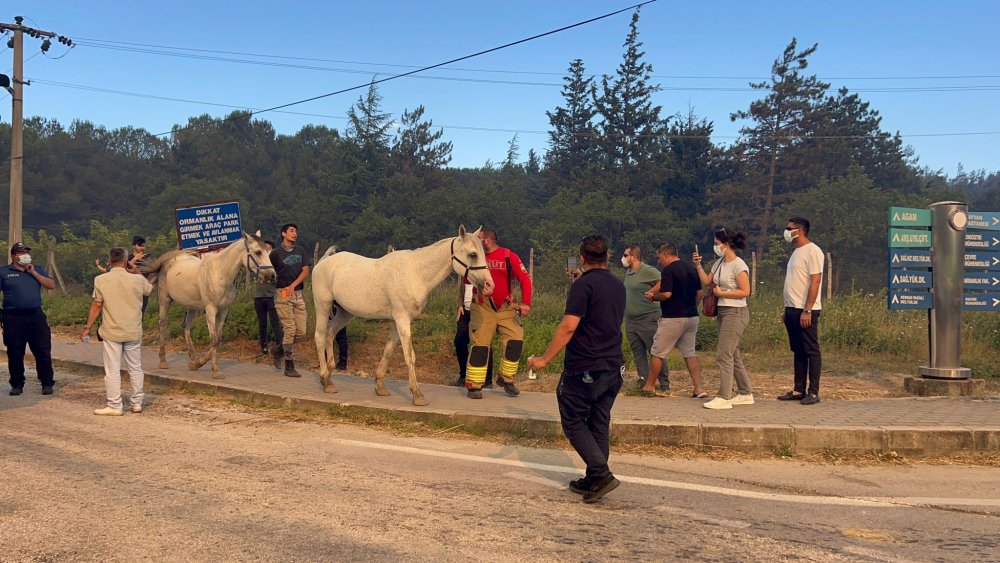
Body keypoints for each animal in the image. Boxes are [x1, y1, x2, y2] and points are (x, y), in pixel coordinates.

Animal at [143, 234, 276, 378]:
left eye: (268, 251)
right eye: (258, 252)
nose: (272, 275)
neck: (220, 274)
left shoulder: (223, 310)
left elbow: (218, 338)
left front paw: (198, 363)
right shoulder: (211, 310)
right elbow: (213, 339)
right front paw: (215, 370)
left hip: (192, 306)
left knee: (186, 328)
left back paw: (193, 357)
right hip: (165, 300)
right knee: (162, 325)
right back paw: (163, 360)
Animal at [312, 225, 492, 406]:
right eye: (473, 254)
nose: (489, 285)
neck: (415, 273)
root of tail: (322, 263)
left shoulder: (397, 322)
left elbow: (389, 350)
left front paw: (380, 386)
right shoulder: (402, 320)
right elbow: (409, 356)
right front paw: (417, 394)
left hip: (345, 312)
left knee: (330, 333)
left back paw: (329, 375)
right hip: (323, 307)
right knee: (320, 337)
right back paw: (325, 380)